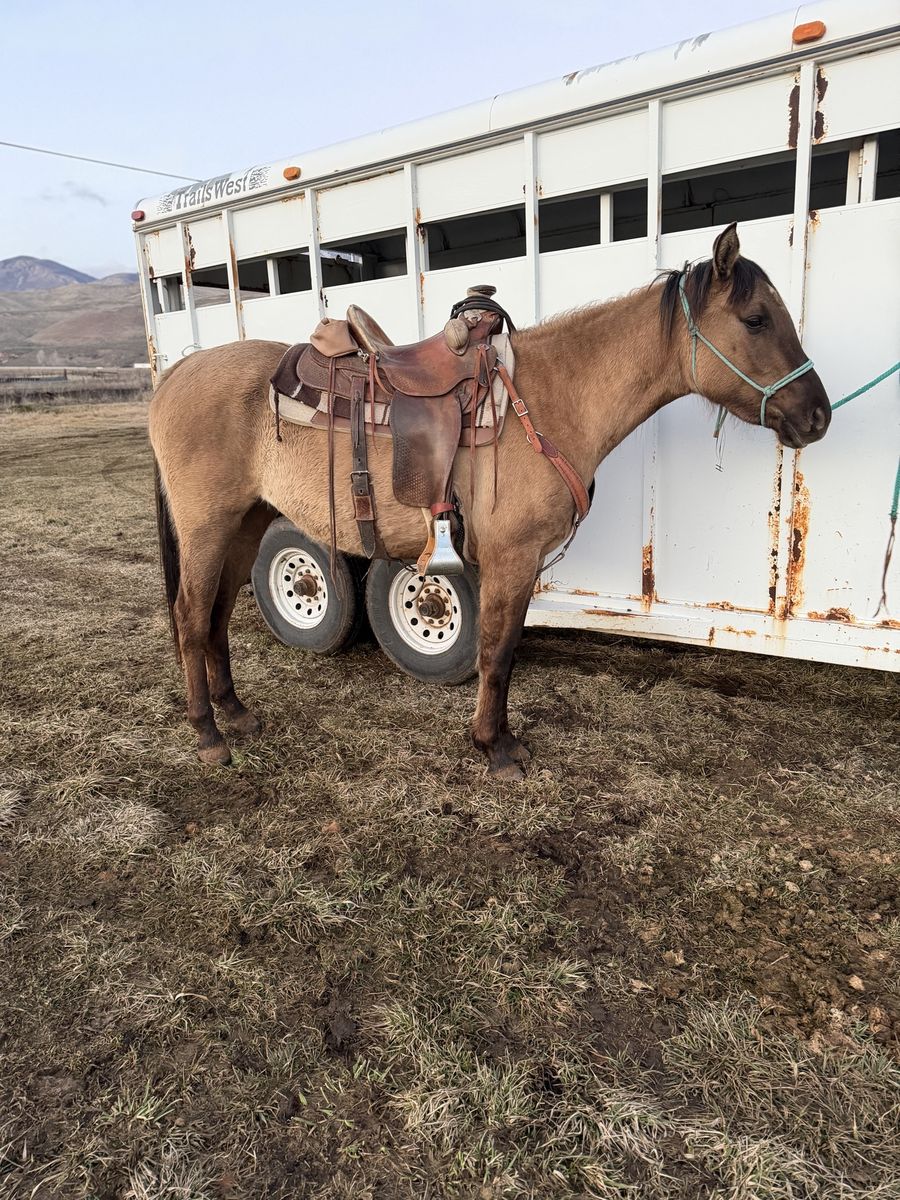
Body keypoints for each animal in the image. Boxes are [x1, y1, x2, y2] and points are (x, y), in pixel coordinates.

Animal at [149, 223, 831, 779]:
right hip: (207, 526)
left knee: (214, 616)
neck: (551, 399)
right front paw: (495, 747)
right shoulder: (512, 557)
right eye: (756, 319)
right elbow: (498, 653)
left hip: (244, 523)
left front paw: (496, 737)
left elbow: (503, 647)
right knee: (189, 616)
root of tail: (173, 375)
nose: (818, 415)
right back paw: (208, 734)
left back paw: (236, 713)